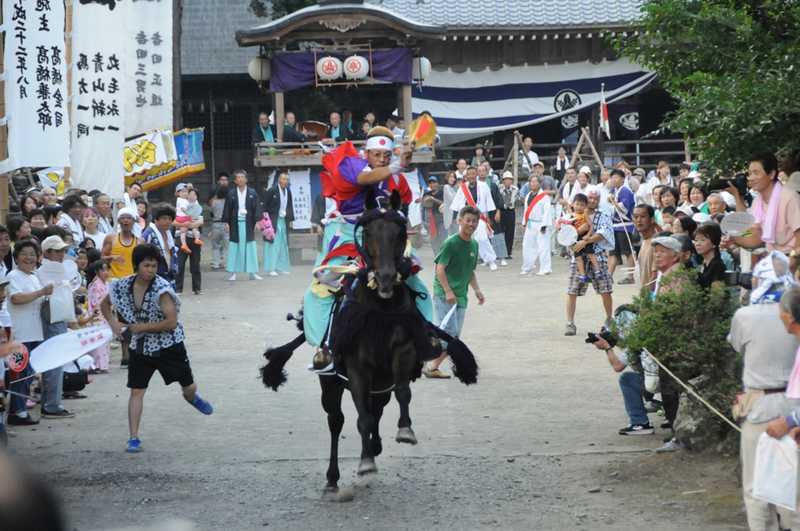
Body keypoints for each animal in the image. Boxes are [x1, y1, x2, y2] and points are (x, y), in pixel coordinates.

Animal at [262, 191, 478, 498]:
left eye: (399, 233)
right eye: (368, 233)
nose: (386, 277)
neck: (379, 309)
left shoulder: (401, 353)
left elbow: (401, 393)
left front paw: (404, 432)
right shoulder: (357, 367)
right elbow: (360, 418)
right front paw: (364, 463)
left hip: (379, 384)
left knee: (376, 409)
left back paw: (374, 446)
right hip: (331, 382)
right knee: (337, 420)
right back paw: (333, 478)